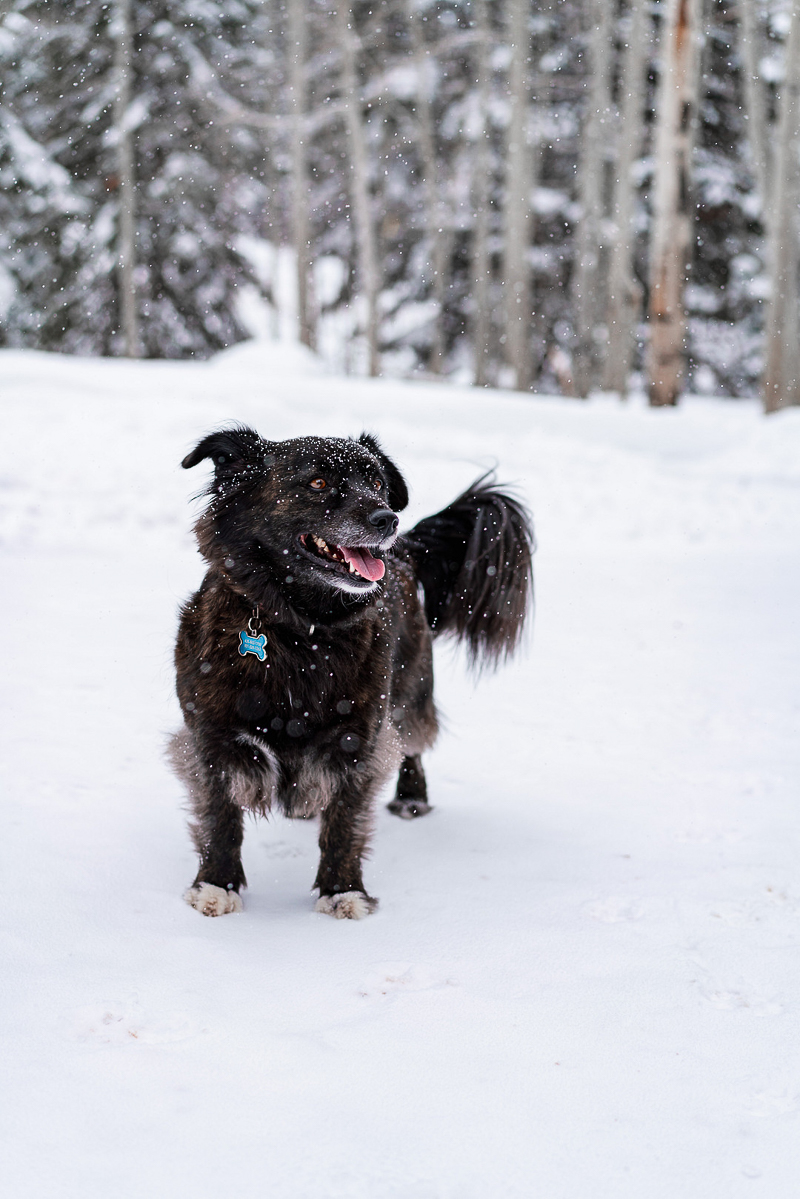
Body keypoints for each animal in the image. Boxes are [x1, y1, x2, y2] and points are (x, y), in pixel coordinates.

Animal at [169, 429, 532, 916]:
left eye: (377, 483)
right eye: (318, 483)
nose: (388, 518)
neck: (300, 630)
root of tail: (403, 553)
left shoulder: (357, 742)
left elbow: (344, 823)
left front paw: (343, 890)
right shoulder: (212, 738)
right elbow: (220, 816)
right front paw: (216, 885)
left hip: (410, 693)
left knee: (413, 743)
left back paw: (411, 799)